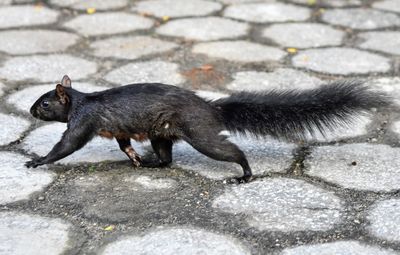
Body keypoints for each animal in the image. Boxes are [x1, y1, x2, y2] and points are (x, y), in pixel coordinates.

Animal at [25, 74, 388, 182]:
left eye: (45, 104)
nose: (30, 110)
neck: (81, 101)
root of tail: (210, 108)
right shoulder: (118, 129)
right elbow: (124, 143)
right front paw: (134, 158)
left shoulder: (84, 121)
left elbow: (67, 145)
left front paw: (38, 161)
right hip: (161, 134)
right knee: (166, 158)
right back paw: (152, 162)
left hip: (199, 133)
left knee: (231, 150)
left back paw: (244, 174)